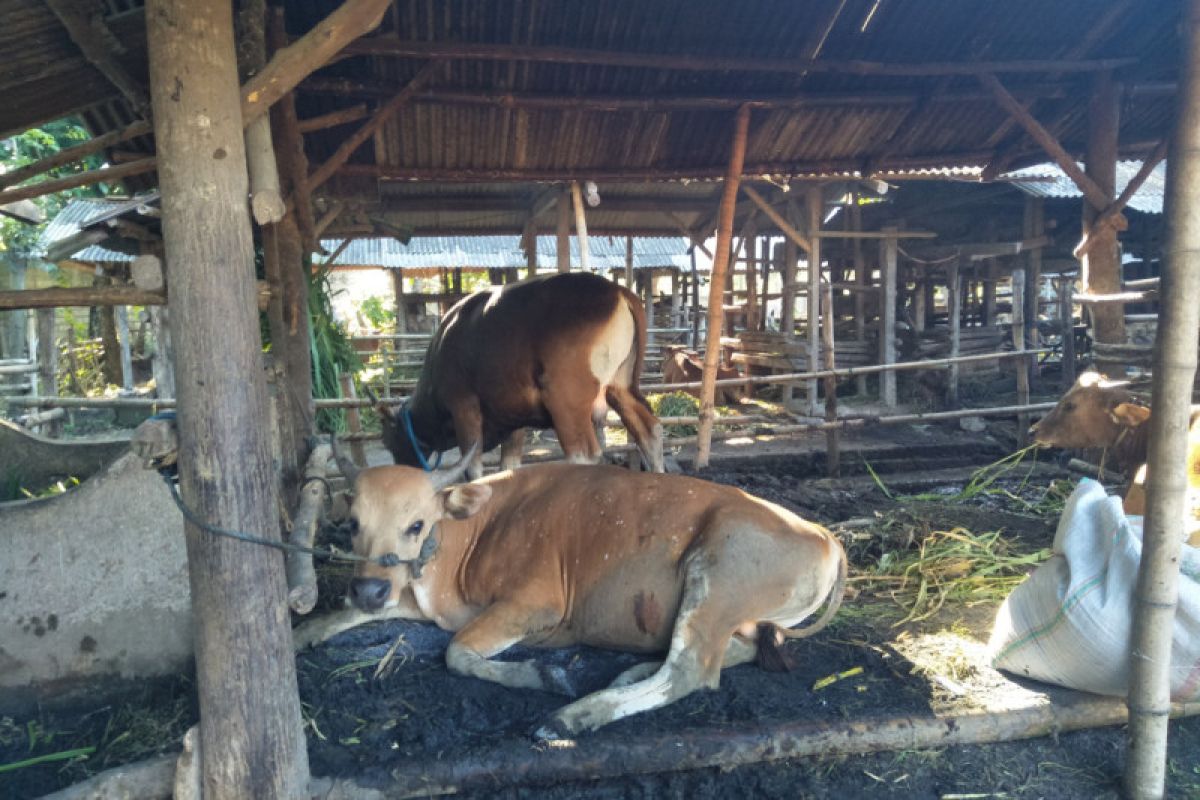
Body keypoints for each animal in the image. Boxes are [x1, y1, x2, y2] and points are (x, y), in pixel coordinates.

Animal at [295, 453, 849, 743]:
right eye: (352, 524)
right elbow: (347, 614)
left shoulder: (535, 604)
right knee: (732, 652)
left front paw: (544, 676)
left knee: (691, 671)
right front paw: (304, 630)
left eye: (416, 525)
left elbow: (456, 653)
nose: (369, 586)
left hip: (715, 572)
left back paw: (575, 715)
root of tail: (823, 533)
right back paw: (629, 672)